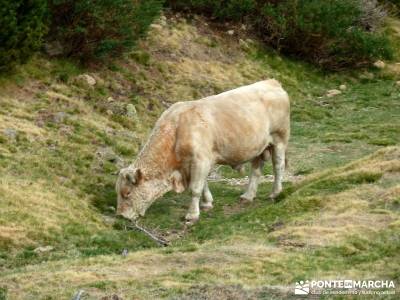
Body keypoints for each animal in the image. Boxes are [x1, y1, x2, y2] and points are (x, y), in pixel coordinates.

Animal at [115, 79, 290, 223]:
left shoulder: (200, 160)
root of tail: (272, 82)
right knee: (256, 170)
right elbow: (203, 184)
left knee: (278, 166)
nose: (121, 215)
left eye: (127, 193)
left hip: (280, 139)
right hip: (258, 147)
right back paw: (248, 196)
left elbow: (195, 188)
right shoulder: (199, 162)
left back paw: (275, 193)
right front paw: (207, 203)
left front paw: (192, 215)